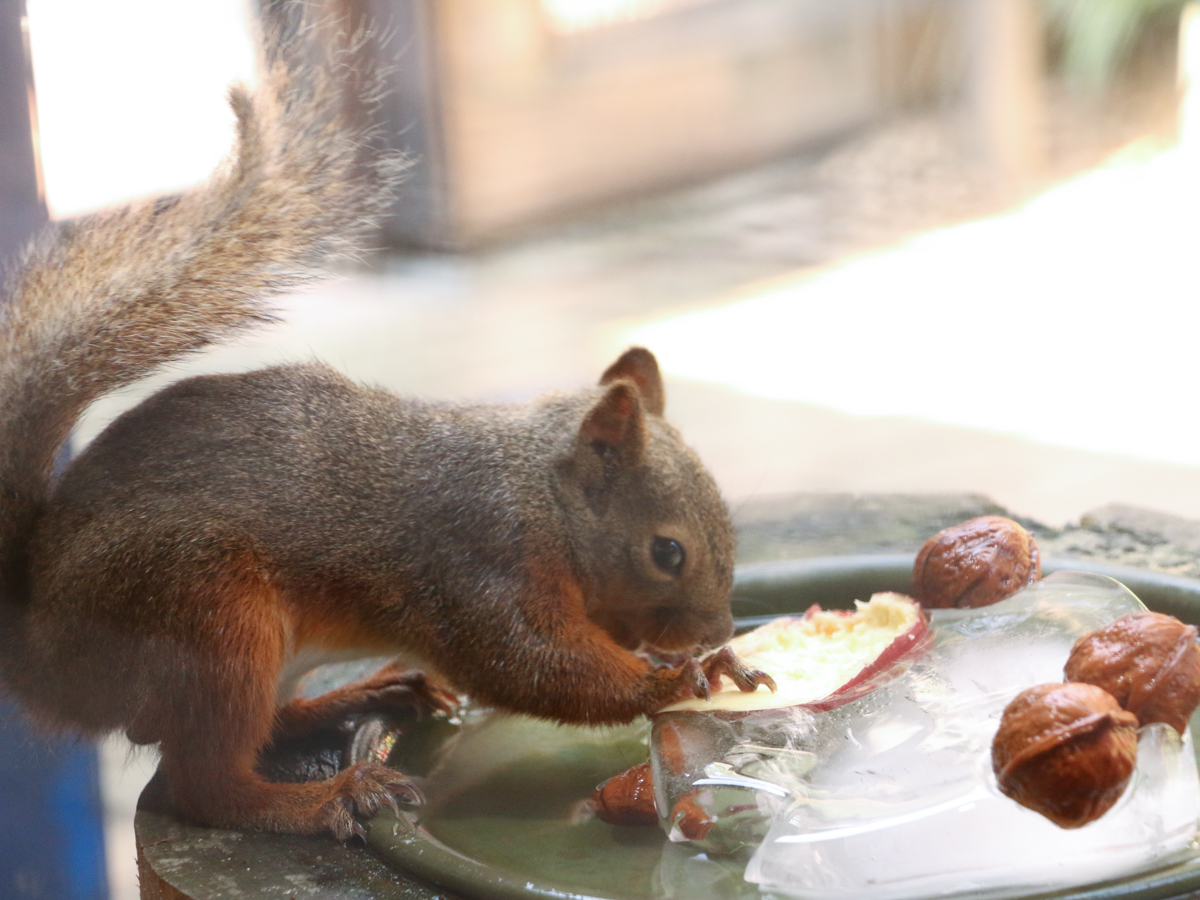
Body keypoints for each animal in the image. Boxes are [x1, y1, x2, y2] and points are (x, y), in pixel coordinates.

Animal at [0, 7, 772, 844]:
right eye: (668, 552)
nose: (714, 628)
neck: (541, 498)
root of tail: (40, 648)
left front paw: (713, 663)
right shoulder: (479, 564)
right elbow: (532, 667)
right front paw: (669, 680)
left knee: (263, 730)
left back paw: (369, 693)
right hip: (209, 618)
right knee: (202, 783)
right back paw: (323, 797)